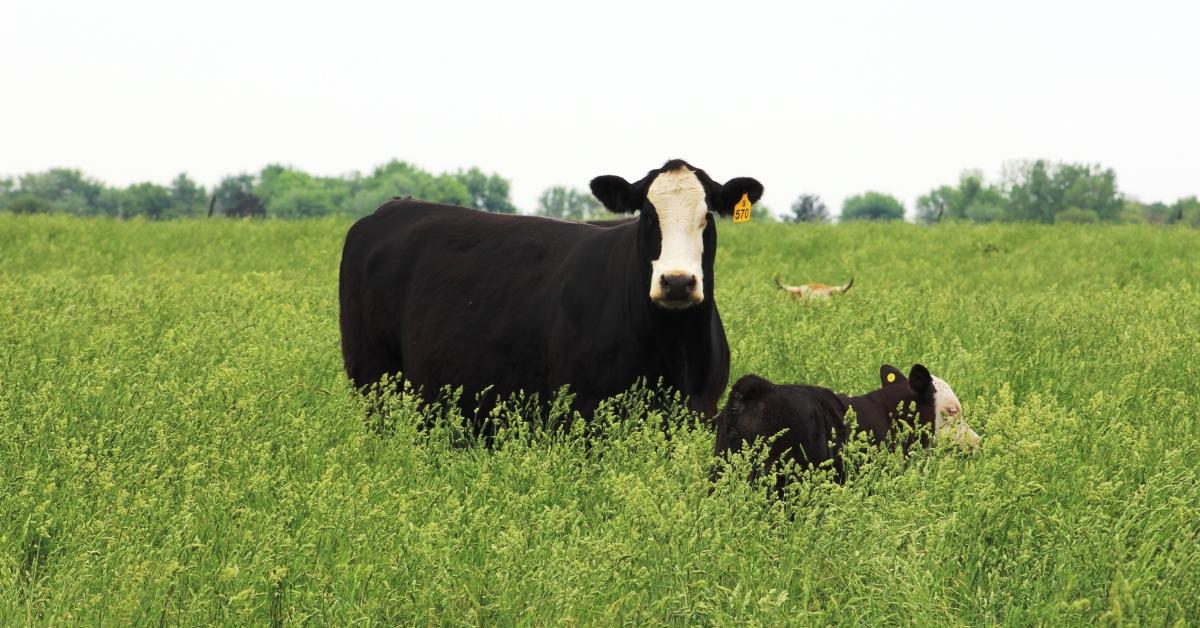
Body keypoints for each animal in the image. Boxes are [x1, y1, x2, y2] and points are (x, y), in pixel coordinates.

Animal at [336, 159, 758, 429]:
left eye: (707, 216)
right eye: (649, 215)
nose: (677, 281)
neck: (674, 349)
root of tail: (390, 208)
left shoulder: (701, 410)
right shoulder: (582, 408)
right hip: (374, 380)